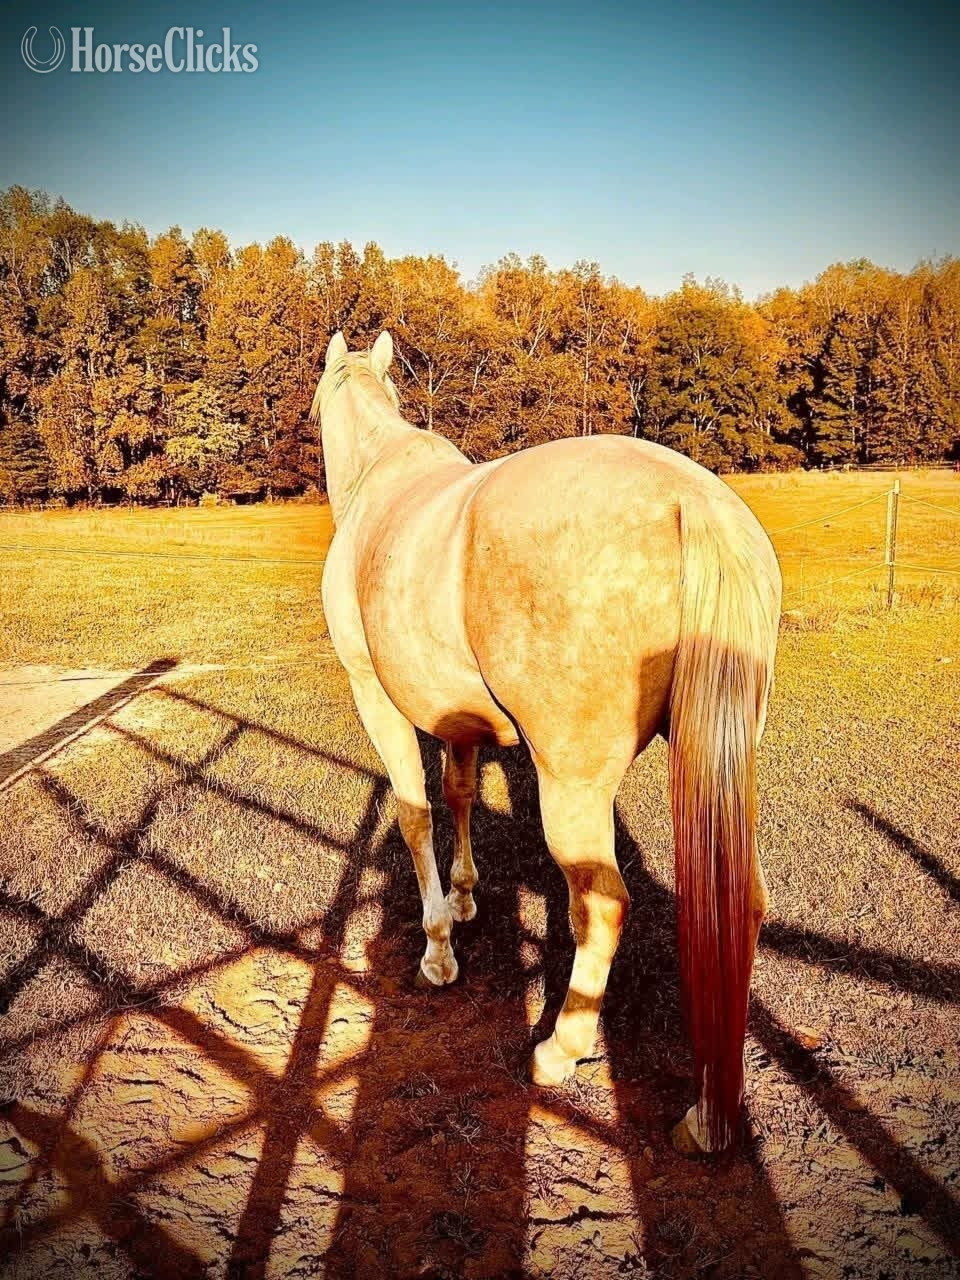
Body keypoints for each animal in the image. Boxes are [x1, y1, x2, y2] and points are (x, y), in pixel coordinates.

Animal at [310, 331, 782, 1153]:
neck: (380, 479)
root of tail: (695, 500)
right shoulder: (460, 719)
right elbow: (460, 796)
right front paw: (466, 897)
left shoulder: (378, 697)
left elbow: (414, 814)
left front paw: (439, 948)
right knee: (739, 903)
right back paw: (710, 1108)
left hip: (571, 787)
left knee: (605, 902)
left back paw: (563, 1047)